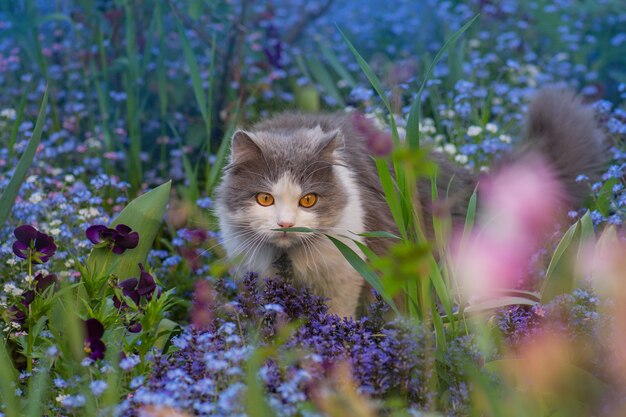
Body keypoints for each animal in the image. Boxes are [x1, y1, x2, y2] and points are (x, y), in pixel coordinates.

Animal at [214, 88, 604, 316]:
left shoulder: (343, 277)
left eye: (308, 199)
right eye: (265, 198)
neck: (288, 259)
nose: (285, 224)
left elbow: (338, 317)